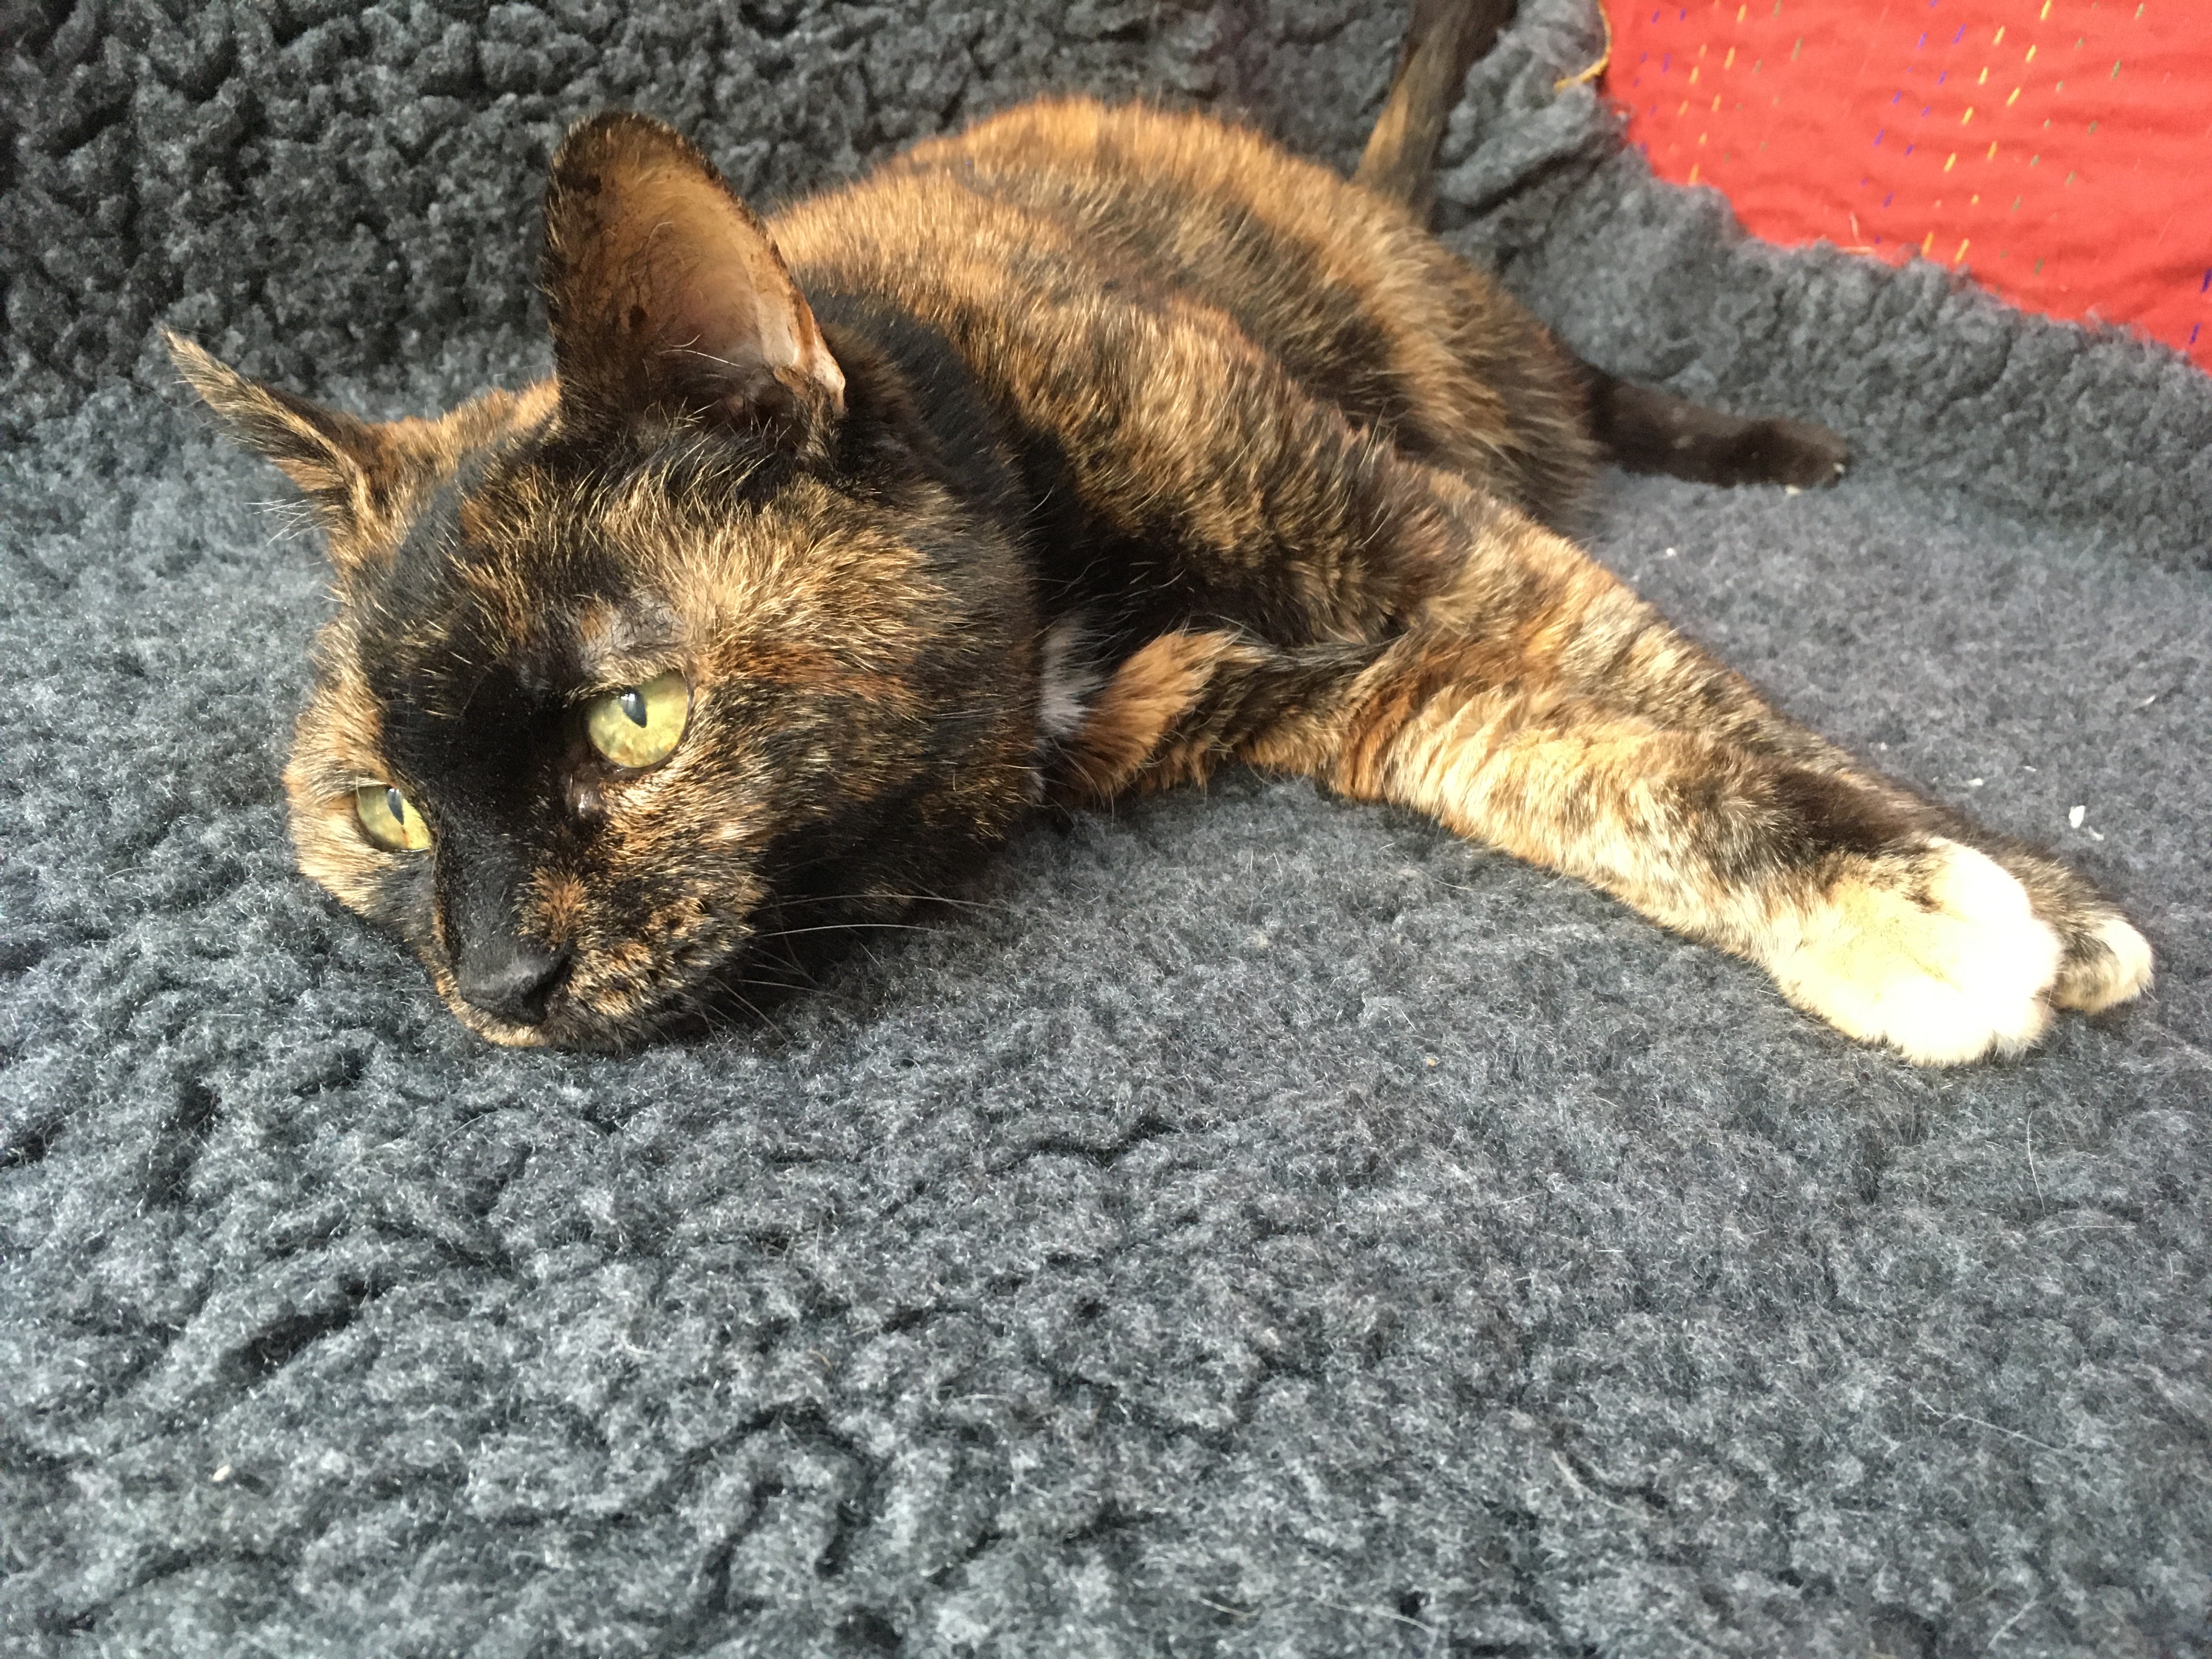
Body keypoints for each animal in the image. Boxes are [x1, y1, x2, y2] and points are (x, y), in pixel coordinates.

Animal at [165, 12, 2150, 1063]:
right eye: (385, 811)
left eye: (631, 719)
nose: (498, 984)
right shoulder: (1379, 703)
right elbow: (1608, 776)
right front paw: (1921, 913)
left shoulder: (1442, 547)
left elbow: (1714, 719)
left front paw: (2000, 899)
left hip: (1484, 361)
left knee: (1601, 394)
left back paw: (1783, 445)